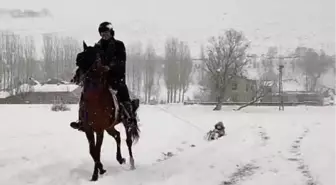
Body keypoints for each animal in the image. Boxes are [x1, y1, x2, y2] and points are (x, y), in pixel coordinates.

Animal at [73, 41, 140, 181]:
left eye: (91, 58)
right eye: (78, 59)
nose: (76, 78)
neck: (94, 99)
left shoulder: (99, 130)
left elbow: (97, 150)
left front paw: (96, 174)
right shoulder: (88, 129)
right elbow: (92, 151)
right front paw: (100, 169)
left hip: (126, 123)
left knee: (128, 141)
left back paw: (131, 163)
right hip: (109, 127)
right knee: (117, 136)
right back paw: (120, 158)